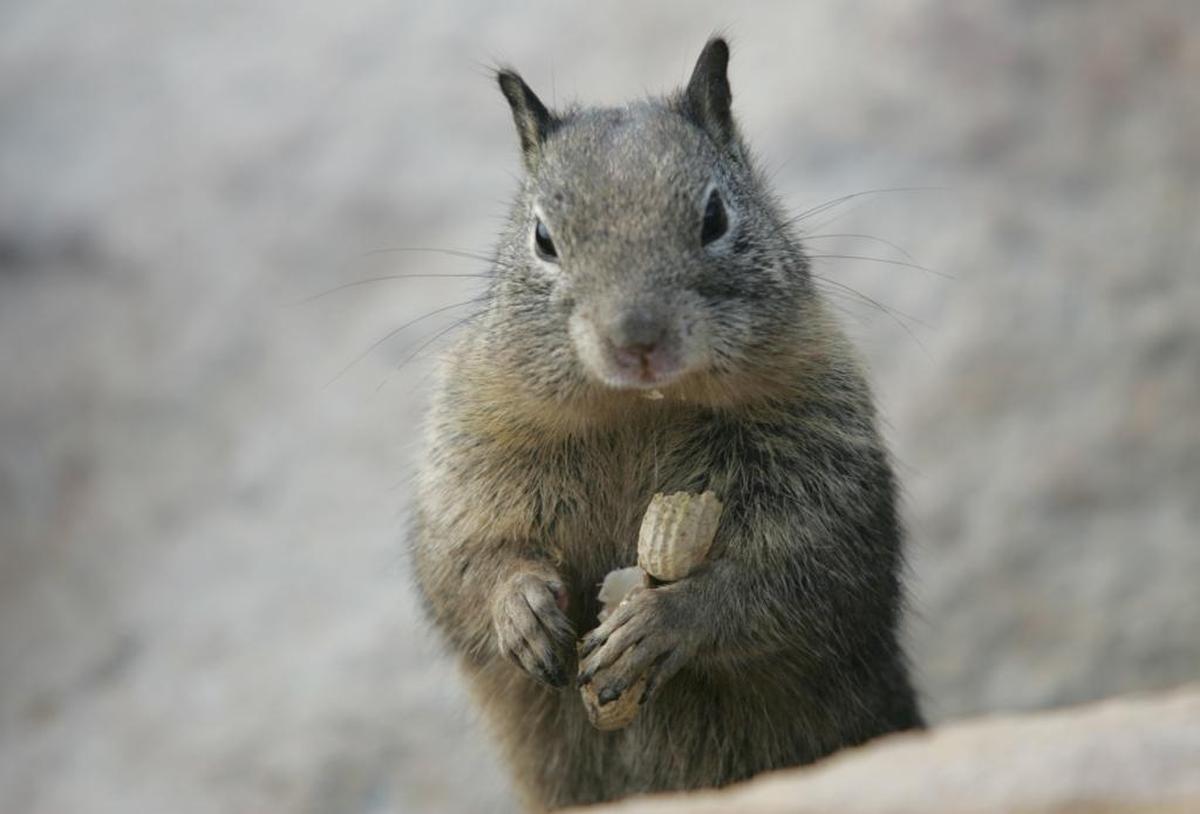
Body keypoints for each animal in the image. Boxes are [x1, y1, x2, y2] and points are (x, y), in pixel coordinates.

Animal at [410, 38, 923, 812]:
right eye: (543, 237)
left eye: (714, 217)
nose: (637, 339)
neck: (639, 412)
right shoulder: (474, 452)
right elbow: (465, 559)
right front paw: (520, 607)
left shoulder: (822, 462)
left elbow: (786, 579)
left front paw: (661, 623)